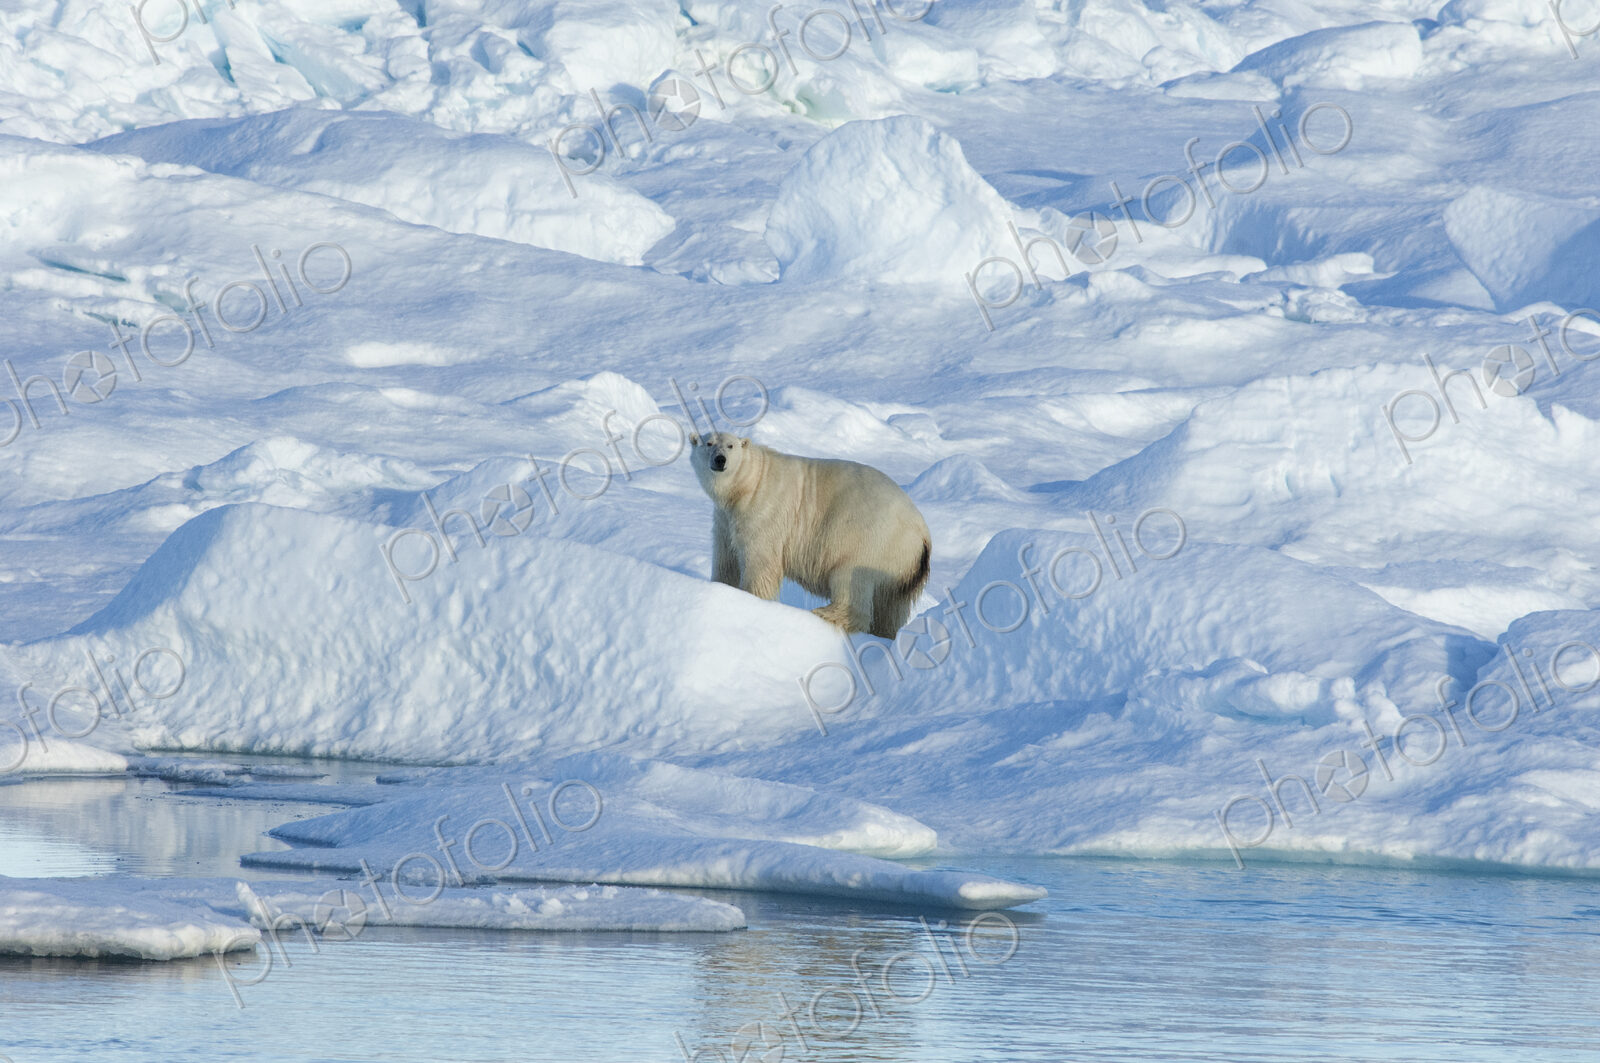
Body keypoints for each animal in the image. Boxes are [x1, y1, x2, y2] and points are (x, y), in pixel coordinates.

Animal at [689, 431, 931, 638]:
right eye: (708, 443)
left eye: (730, 445)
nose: (720, 459)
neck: (749, 484)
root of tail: (923, 534)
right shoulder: (725, 519)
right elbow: (726, 558)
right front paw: (721, 587)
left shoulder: (765, 510)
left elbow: (760, 560)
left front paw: (752, 599)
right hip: (902, 568)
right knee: (890, 606)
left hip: (871, 539)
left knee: (851, 578)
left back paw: (825, 613)